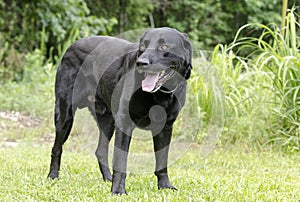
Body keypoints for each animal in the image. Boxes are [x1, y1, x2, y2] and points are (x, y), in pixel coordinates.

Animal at [47, 27, 192, 194]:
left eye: (164, 46)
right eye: (143, 46)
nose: (141, 63)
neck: (159, 95)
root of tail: (72, 45)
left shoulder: (165, 127)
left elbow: (162, 161)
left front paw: (165, 186)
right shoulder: (124, 123)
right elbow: (121, 160)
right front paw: (118, 190)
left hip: (107, 120)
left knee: (100, 151)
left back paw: (107, 178)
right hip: (65, 115)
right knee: (57, 148)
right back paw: (52, 176)